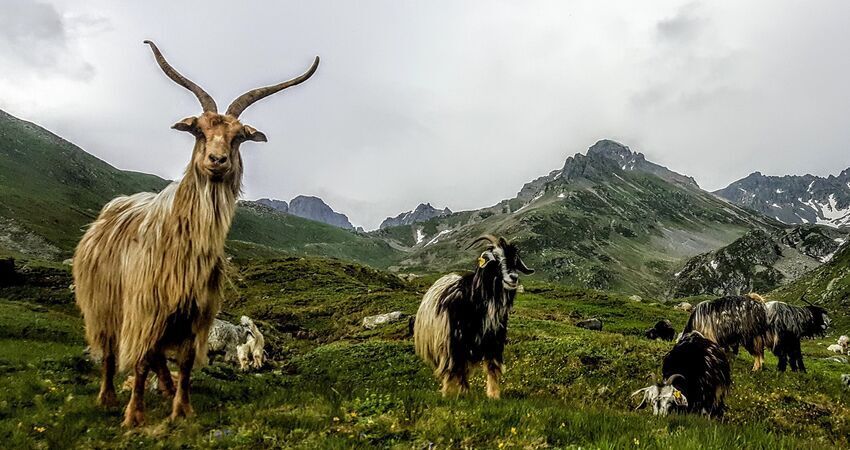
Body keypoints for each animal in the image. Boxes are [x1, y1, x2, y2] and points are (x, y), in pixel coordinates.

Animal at [73, 40, 316, 428]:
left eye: (238, 137)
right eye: (199, 130)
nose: (217, 160)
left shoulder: (195, 315)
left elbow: (184, 362)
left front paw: (183, 409)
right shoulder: (143, 307)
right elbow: (139, 360)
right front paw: (133, 416)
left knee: (158, 355)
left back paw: (166, 388)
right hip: (102, 303)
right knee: (111, 350)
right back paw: (108, 397)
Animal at [410, 236, 528, 398]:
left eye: (515, 260)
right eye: (496, 259)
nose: (514, 277)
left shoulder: (494, 341)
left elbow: (492, 367)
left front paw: (493, 395)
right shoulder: (452, 342)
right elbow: (452, 369)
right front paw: (447, 394)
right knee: (452, 369)